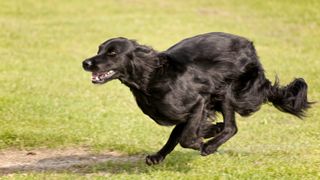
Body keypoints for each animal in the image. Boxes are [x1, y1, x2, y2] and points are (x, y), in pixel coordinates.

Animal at [82, 32, 310, 166]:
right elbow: (177, 134)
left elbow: (186, 138)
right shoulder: (187, 112)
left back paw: (210, 146)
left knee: (232, 127)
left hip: (226, 89)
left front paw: (203, 140)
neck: (151, 76)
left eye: (112, 53)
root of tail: (250, 48)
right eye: (99, 49)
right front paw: (159, 155)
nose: (85, 63)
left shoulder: (199, 101)